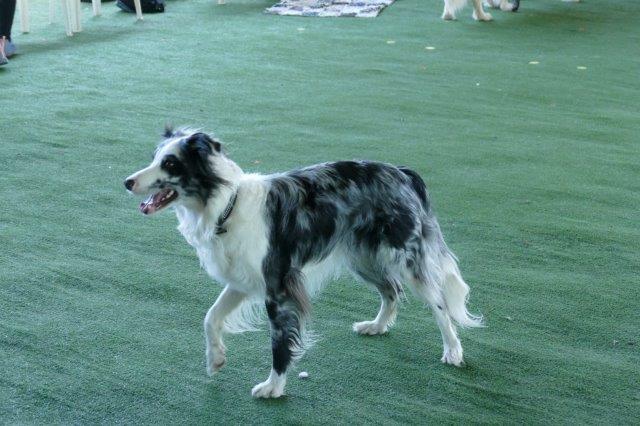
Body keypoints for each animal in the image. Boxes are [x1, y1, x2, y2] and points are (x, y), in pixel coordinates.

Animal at [124, 128, 483, 398]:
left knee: (439, 303)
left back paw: (453, 351)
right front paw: (216, 358)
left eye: (170, 163)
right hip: (363, 258)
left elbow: (280, 343)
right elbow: (210, 317)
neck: (227, 205)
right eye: (154, 158)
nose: (127, 182)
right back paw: (378, 326)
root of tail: (402, 173)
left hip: (405, 258)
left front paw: (273, 387)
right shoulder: (244, 280)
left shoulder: (279, 287)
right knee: (391, 290)